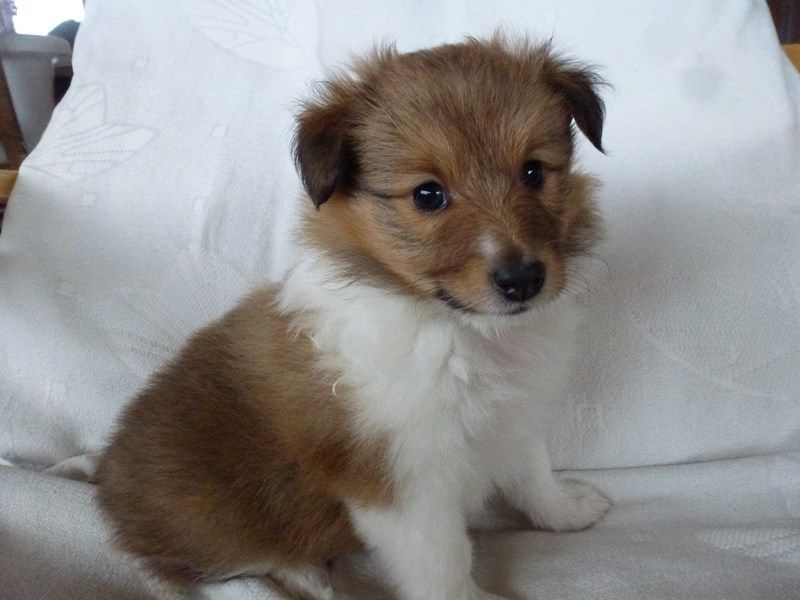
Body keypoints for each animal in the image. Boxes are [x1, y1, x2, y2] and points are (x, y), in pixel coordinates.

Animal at [96, 35, 610, 600]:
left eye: (534, 171)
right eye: (428, 194)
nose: (522, 280)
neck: (463, 334)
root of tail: (105, 476)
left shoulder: (516, 416)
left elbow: (533, 474)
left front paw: (567, 511)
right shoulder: (402, 481)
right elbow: (443, 561)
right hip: (214, 511)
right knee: (221, 560)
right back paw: (302, 572)